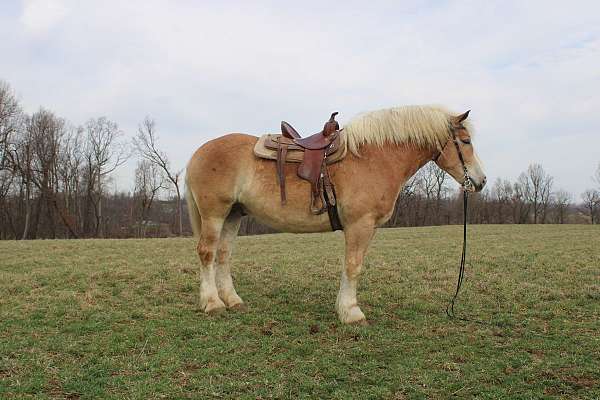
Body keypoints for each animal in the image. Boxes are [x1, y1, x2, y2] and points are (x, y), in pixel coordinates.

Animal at [185, 104, 486, 324]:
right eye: (466, 141)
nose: (481, 181)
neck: (374, 158)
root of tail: (199, 152)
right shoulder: (359, 225)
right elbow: (353, 266)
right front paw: (352, 313)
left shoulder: (366, 228)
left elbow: (351, 266)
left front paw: (344, 308)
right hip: (214, 214)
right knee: (207, 253)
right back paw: (212, 303)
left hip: (233, 215)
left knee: (223, 255)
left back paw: (233, 301)